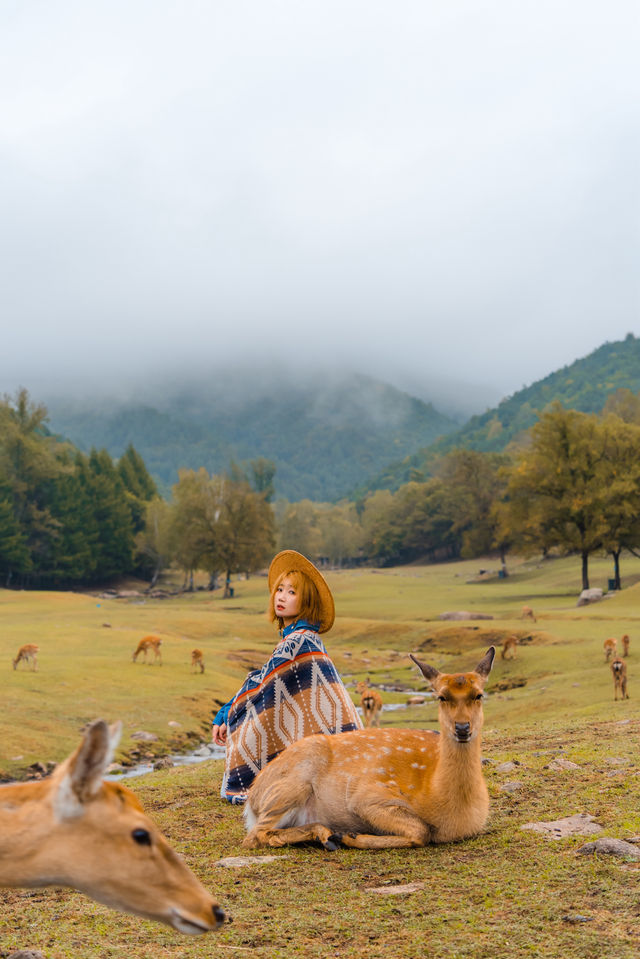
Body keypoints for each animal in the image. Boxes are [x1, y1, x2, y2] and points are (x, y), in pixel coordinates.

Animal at [242, 648, 498, 852]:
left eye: (479, 695)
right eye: (441, 697)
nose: (462, 728)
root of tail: (251, 801)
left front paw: (347, 835)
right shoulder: (366, 796)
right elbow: (421, 830)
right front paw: (350, 835)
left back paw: (326, 835)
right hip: (290, 785)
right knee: (255, 835)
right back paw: (327, 835)